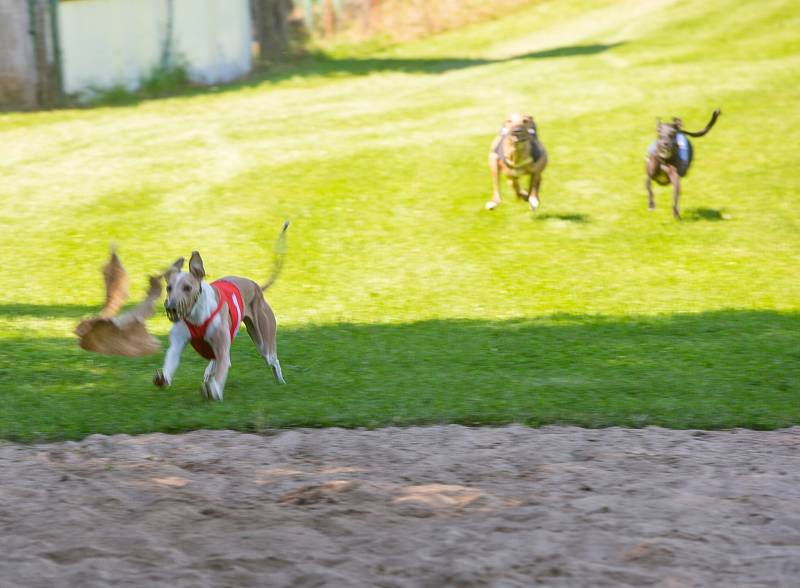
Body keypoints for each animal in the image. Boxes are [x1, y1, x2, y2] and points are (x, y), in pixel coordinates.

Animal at [152, 220, 290, 400]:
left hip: (263, 339)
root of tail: (256, 287)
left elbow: (222, 366)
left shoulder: (223, 349)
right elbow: (172, 358)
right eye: (169, 288)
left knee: (272, 360)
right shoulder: (178, 343)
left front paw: (214, 389)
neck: (197, 316)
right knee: (214, 361)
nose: (171, 307)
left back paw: (281, 381)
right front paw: (163, 378)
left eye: (187, 288)